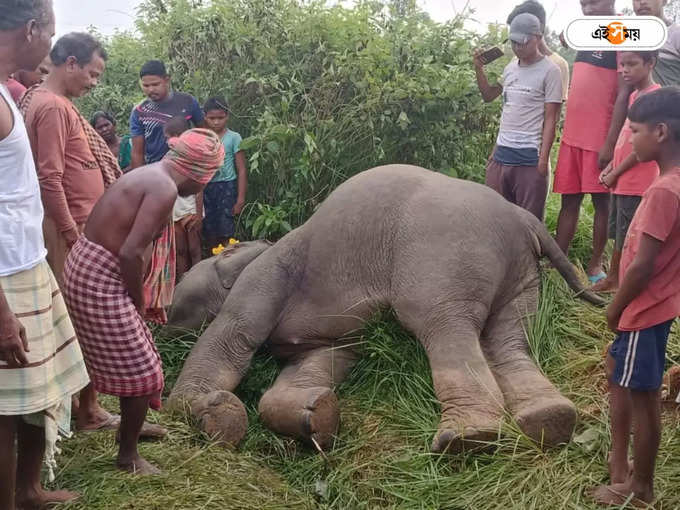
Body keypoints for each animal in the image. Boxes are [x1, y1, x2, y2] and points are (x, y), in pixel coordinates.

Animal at [167, 164, 604, 454]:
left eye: (183, 280)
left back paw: (467, 441)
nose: (163, 315)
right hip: (521, 273)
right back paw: (550, 421)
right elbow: (317, 365)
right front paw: (318, 416)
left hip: (443, 258)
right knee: (510, 337)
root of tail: (522, 216)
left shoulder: (263, 279)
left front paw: (209, 413)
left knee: (445, 326)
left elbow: (230, 339)